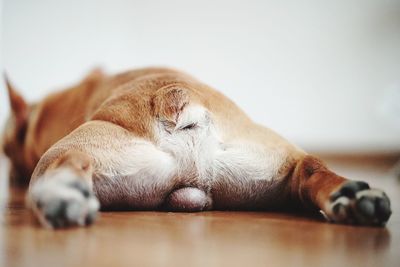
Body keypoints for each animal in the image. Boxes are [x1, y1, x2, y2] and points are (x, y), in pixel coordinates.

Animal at [1, 68, 392, 229]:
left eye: (6, 150)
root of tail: (174, 96)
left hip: (67, 153)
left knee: (65, 161)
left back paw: (61, 195)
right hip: (275, 160)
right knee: (309, 168)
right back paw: (353, 197)